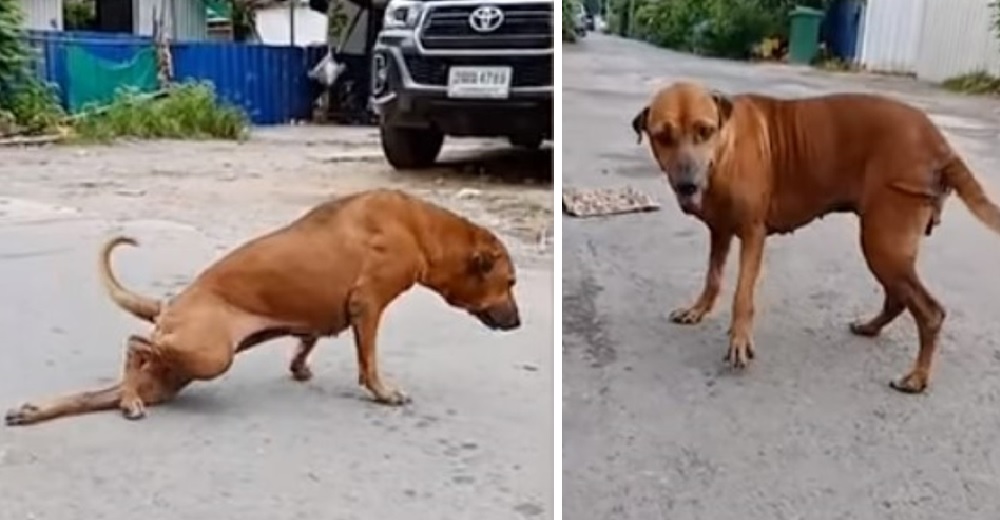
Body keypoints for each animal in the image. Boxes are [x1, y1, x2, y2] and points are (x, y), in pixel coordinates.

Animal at [5, 188, 524, 426]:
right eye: (510, 282)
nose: (518, 321)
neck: (423, 229)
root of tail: (167, 307)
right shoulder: (369, 305)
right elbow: (369, 360)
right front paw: (382, 391)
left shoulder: (322, 315)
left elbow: (307, 338)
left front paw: (299, 366)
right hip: (209, 355)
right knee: (134, 345)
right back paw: (127, 396)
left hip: (176, 373)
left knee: (105, 391)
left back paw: (38, 409)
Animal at [632, 81, 1000, 392]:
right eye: (662, 136)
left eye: (704, 131)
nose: (687, 185)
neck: (725, 148)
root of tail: (941, 143)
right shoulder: (720, 231)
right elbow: (713, 277)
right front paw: (698, 309)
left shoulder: (753, 234)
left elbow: (742, 296)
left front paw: (739, 340)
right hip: (887, 247)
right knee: (898, 298)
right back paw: (871, 327)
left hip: (883, 243)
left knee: (930, 312)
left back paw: (918, 376)